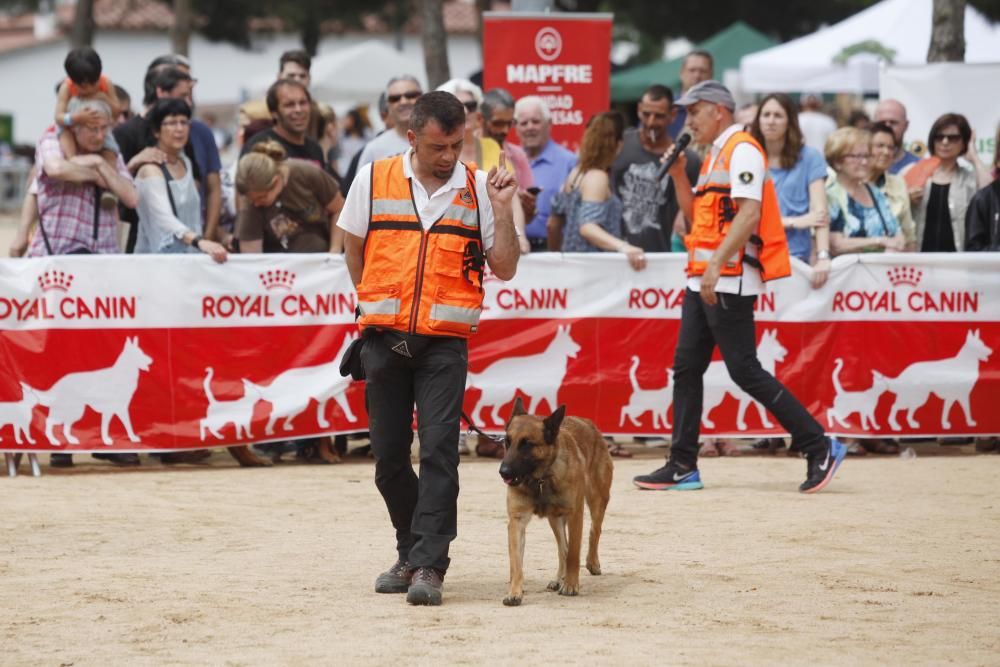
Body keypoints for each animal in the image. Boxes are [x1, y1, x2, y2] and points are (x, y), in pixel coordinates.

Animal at [498, 400, 608, 608]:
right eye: (507, 442)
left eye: (527, 444)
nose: (503, 472)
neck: (541, 478)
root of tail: (587, 422)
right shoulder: (517, 522)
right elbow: (516, 564)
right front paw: (515, 592)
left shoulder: (575, 516)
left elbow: (573, 554)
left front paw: (571, 585)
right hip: (555, 520)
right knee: (562, 549)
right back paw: (559, 578)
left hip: (598, 501)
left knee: (594, 532)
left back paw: (592, 562)